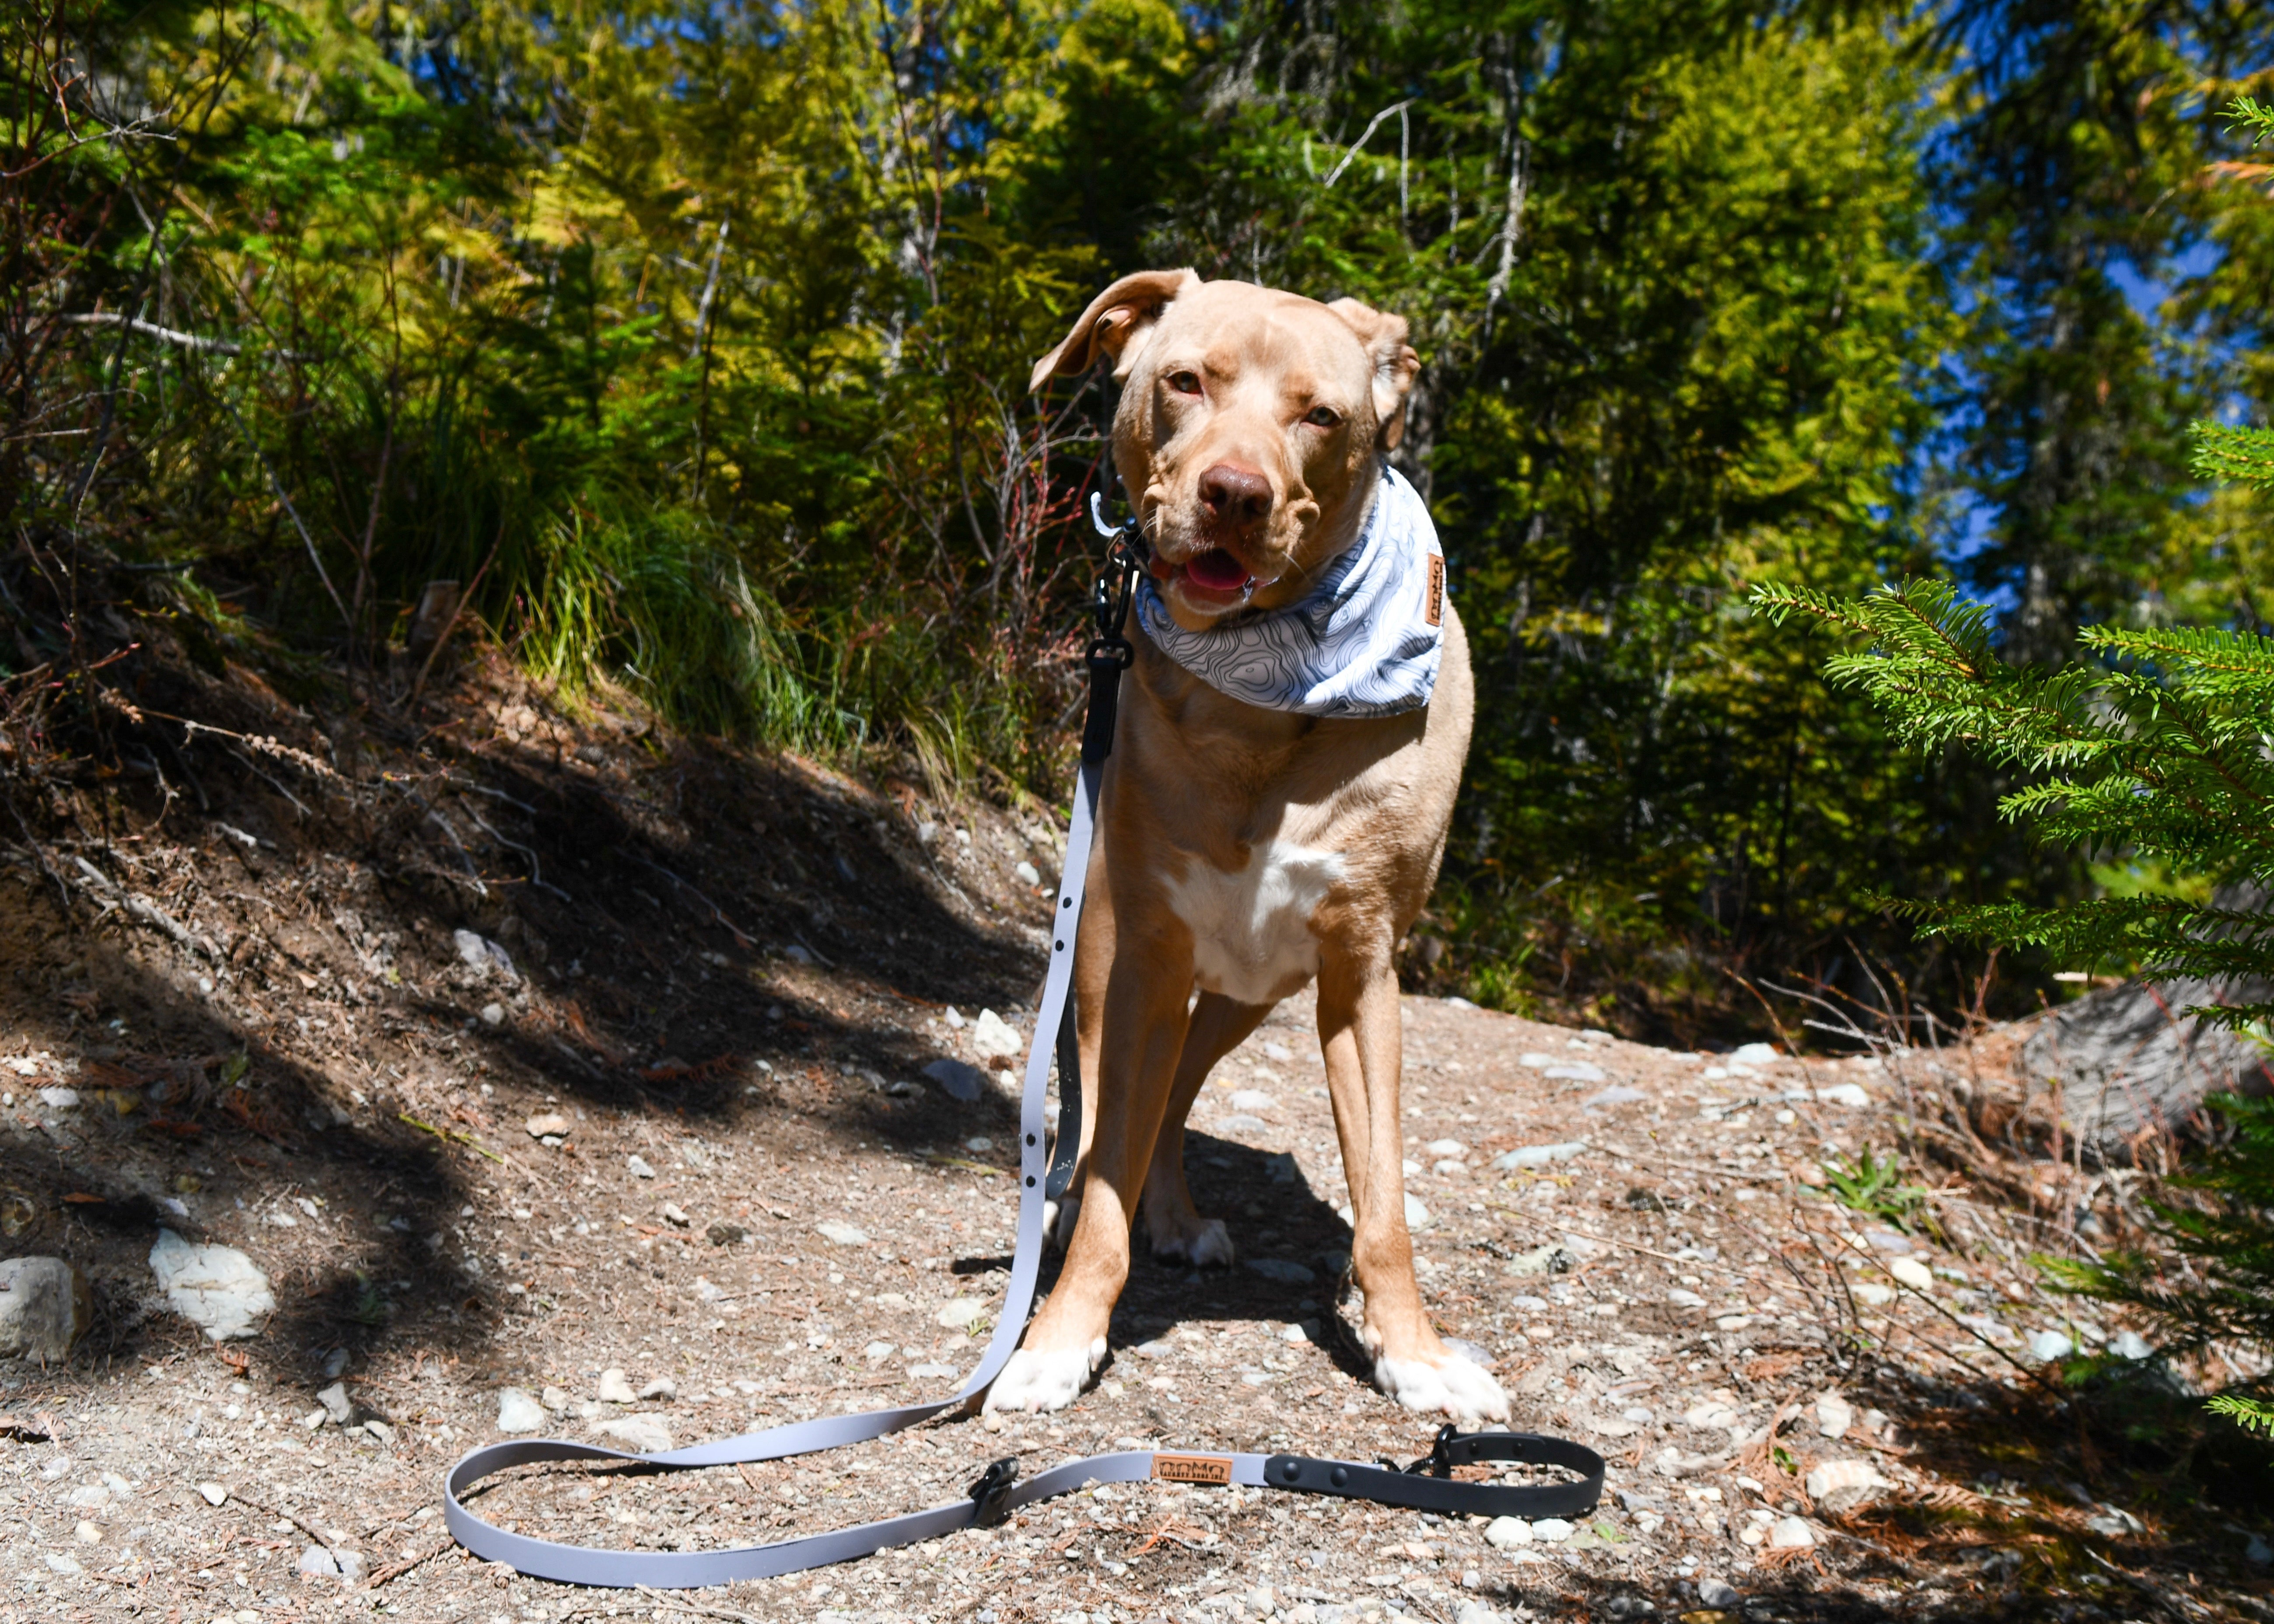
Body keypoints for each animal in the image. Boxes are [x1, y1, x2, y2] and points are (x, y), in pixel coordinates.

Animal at [982, 268, 1501, 1419]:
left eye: (1322, 418)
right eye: (1185, 381)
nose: (1234, 492)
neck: (1267, 705)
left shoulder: (1361, 975)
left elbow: (1383, 1201)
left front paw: (1413, 1351)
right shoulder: (1146, 955)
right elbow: (1110, 1172)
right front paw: (1059, 1337)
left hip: (1248, 990)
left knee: (1175, 1093)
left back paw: (1173, 1214)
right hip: (1106, 961)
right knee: (1106, 1120)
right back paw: (1080, 1210)